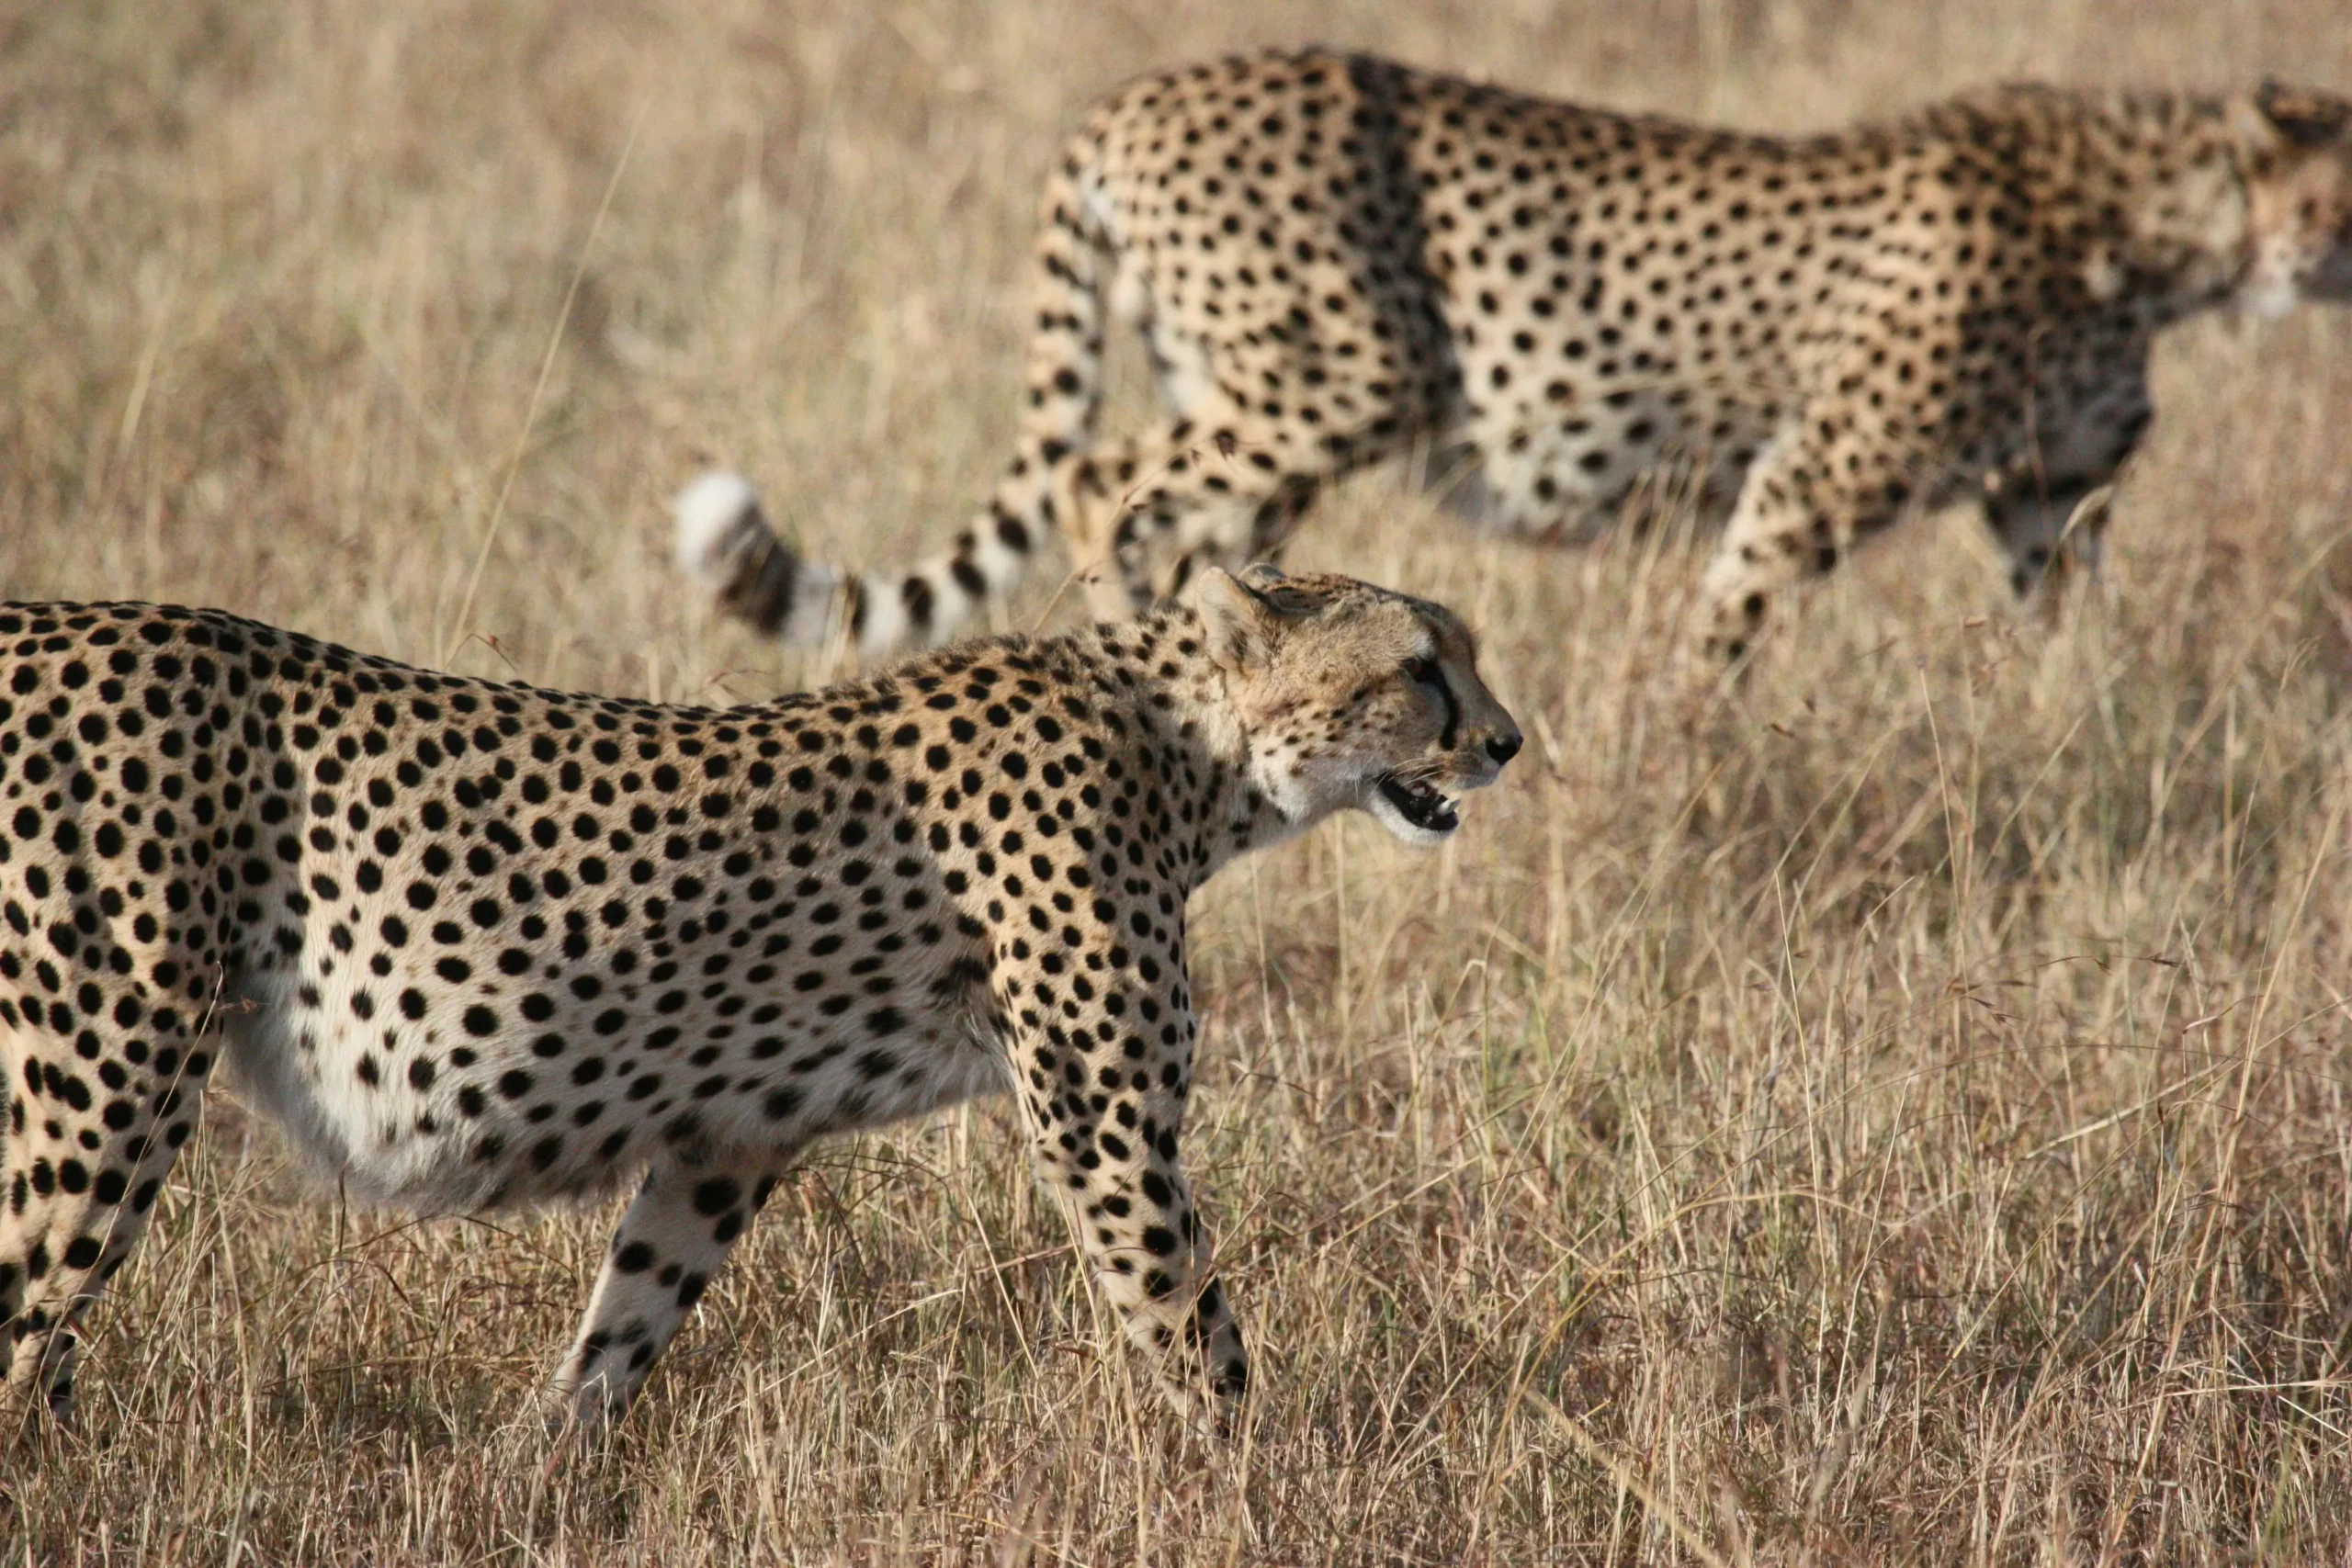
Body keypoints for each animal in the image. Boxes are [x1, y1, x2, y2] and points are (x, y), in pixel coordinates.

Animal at [0, 566, 1519, 1435]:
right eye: (1418, 666)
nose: (1507, 740)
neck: (1191, 754)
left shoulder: (731, 1133)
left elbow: (625, 1322)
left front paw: (536, 1474)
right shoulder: (1108, 1129)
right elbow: (1191, 1322)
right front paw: (1266, 1484)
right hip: (100, 1084)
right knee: (27, 1327)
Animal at [675, 48, 2352, 670]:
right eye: (2344, 188)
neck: (2164, 224)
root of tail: (1139, 89)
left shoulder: (2044, 497)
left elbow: (2077, 629)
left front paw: (2103, 720)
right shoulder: (1817, 472)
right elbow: (1729, 627)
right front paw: (1690, 756)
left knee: (1194, 530)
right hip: (1338, 375)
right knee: (1100, 484)